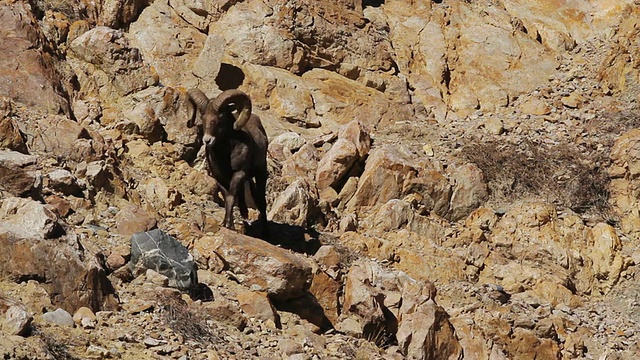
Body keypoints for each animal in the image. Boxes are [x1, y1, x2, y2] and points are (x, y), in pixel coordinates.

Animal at [190, 88, 270, 232]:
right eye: (203, 117)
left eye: (220, 117)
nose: (207, 140)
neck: (225, 155)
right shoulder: (219, 178)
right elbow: (228, 197)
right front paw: (225, 223)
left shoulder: (238, 174)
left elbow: (232, 197)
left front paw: (229, 225)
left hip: (260, 173)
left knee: (261, 201)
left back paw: (265, 233)